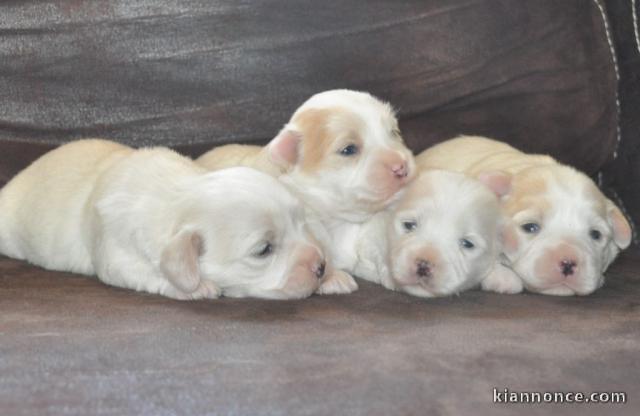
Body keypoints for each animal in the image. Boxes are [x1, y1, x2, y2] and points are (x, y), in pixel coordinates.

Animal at [0, 140, 330, 300]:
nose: (320, 267)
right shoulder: (117, 255)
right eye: (264, 250)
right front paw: (196, 288)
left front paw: (334, 277)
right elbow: (146, 272)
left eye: (302, 225)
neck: (178, 196)